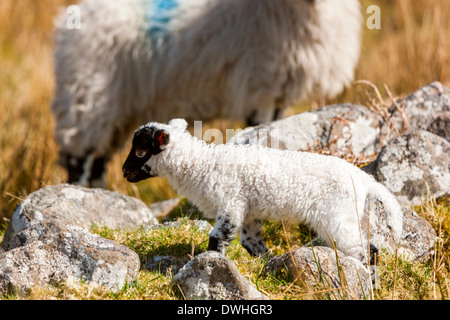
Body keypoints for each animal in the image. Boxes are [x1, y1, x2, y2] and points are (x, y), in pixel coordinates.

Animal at [51, 0, 362, 188]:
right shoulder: (259, 84)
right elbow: (260, 127)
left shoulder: (277, 92)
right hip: (89, 97)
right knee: (80, 159)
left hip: (119, 110)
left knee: (100, 161)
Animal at [121, 119, 402, 264]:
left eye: (140, 152)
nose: (123, 172)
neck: (201, 165)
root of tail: (364, 179)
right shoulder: (248, 212)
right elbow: (250, 241)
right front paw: (266, 261)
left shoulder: (231, 204)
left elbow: (217, 237)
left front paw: (211, 263)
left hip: (337, 217)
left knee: (365, 251)